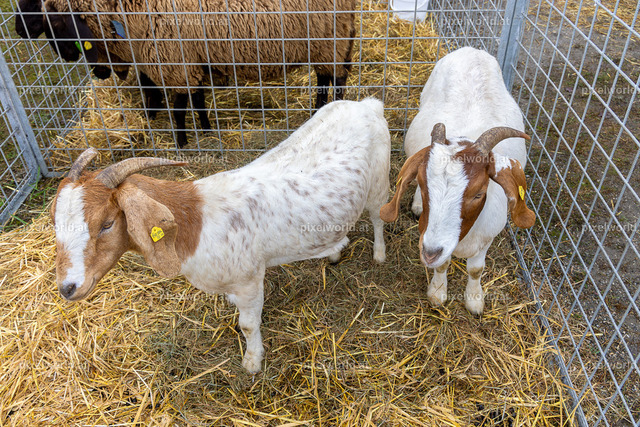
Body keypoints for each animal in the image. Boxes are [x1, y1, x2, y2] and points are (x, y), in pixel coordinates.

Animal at [37, 0, 356, 147]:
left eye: (58, 24)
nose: (99, 73)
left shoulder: (176, 62)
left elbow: (179, 108)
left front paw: (182, 143)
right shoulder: (193, 60)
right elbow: (198, 99)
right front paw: (205, 129)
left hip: (330, 38)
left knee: (337, 79)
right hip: (322, 43)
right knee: (323, 79)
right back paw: (316, 112)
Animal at [50, 98, 389, 373]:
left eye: (107, 223)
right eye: (56, 223)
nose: (68, 288)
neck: (194, 221)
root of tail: (367, 104)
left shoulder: (249, 279)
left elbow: (248, 325)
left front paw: (252, 362)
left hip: (378, 184)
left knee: (378, 218)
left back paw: (379, 254)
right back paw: (334, 250)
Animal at [380, 47, 536, 315]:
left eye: (479, 192)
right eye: (423, 183)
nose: (430, 253)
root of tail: (472, 49)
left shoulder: (487, 237)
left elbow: (476, 269)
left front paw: (474, 300)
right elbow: (443, 265)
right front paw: (437, 293)